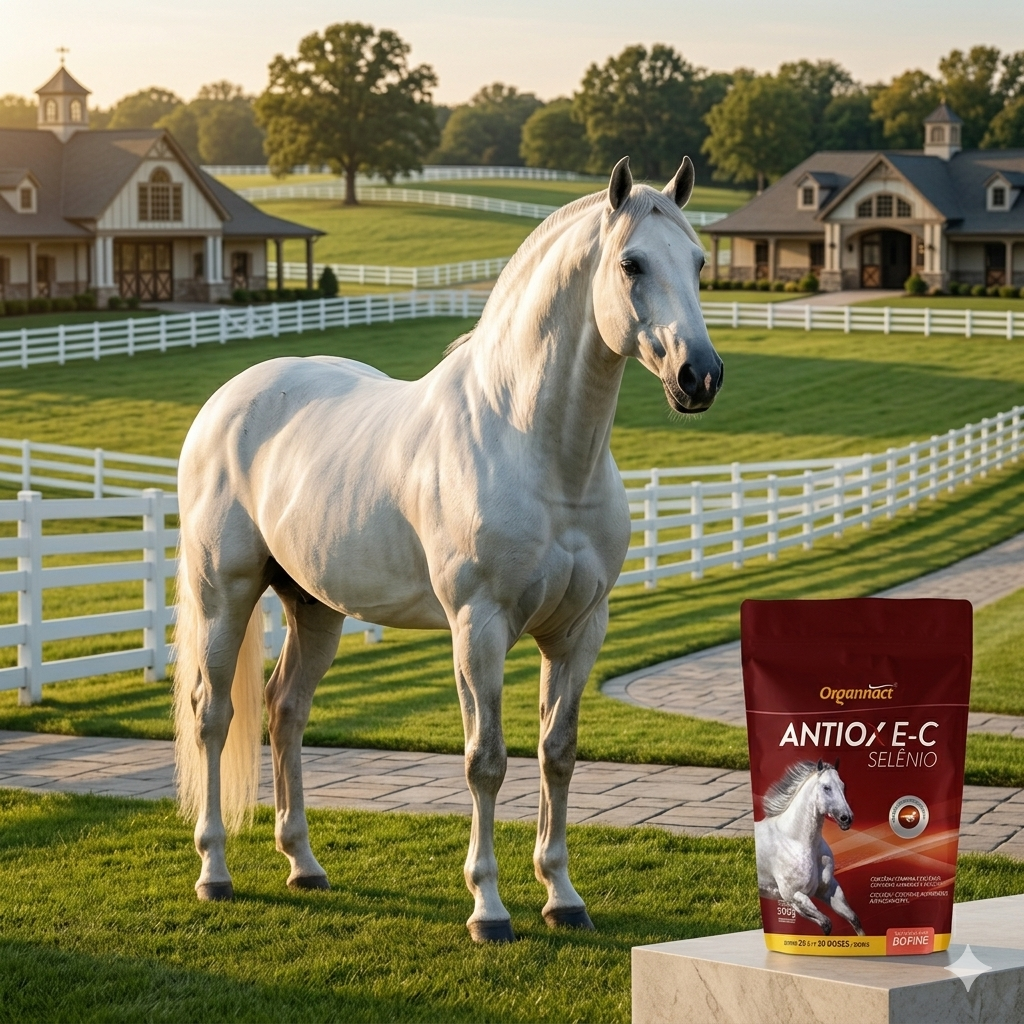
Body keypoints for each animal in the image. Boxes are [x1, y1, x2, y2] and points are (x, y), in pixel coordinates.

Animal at [172, 154, 723, 943]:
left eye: (700, 262)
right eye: (632, 263)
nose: (699, 376)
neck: (533, 445)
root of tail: (226, 403)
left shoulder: (579, 630)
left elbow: (558, 753)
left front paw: (562, 896)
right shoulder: (479, 627)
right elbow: (485, 761)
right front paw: (488, 908)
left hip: (316, 608)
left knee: (285, 710)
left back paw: (304, 864)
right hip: (226, 594)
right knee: (213, 716)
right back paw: (214, 871)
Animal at [754, 759, 865, 936]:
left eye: (843, 785)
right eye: (826, 787)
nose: (846, 818)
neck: (796, 841)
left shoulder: (828, 890)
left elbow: (853, 919)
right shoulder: (793, 895)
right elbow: (826, 924)